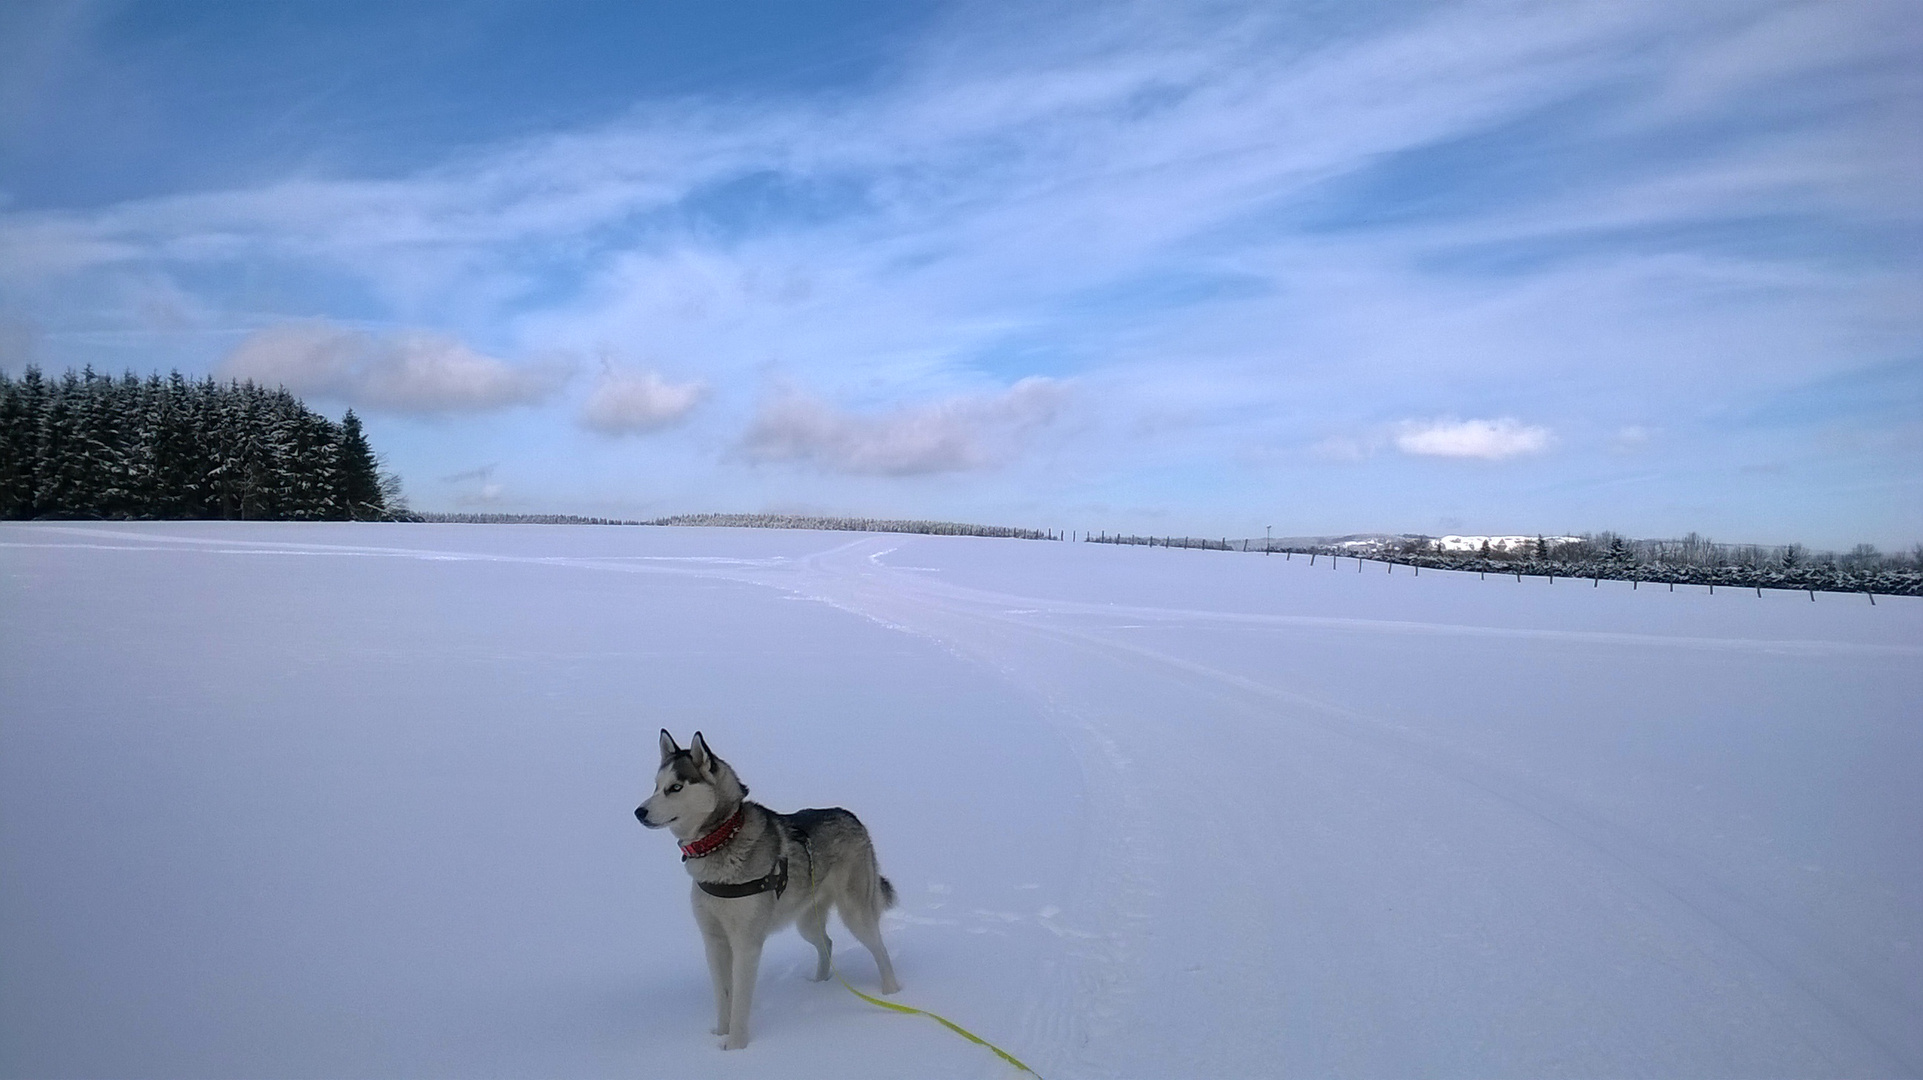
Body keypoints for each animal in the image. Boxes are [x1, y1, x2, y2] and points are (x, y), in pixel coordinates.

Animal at [634, 722, 896, 1045]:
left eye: (676, 788)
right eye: (656, 786)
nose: (639, 812)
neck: (720, 839)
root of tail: (852, 817)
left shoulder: (746, 943)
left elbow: (739, 1001)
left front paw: (736, 1046)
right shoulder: (713, 940)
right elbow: (723, 996)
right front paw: (719, 1035)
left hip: (855, 913)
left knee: (880, 950)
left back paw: (891, 993)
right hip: (806, 920)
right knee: (827, 943)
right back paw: (818, 985)